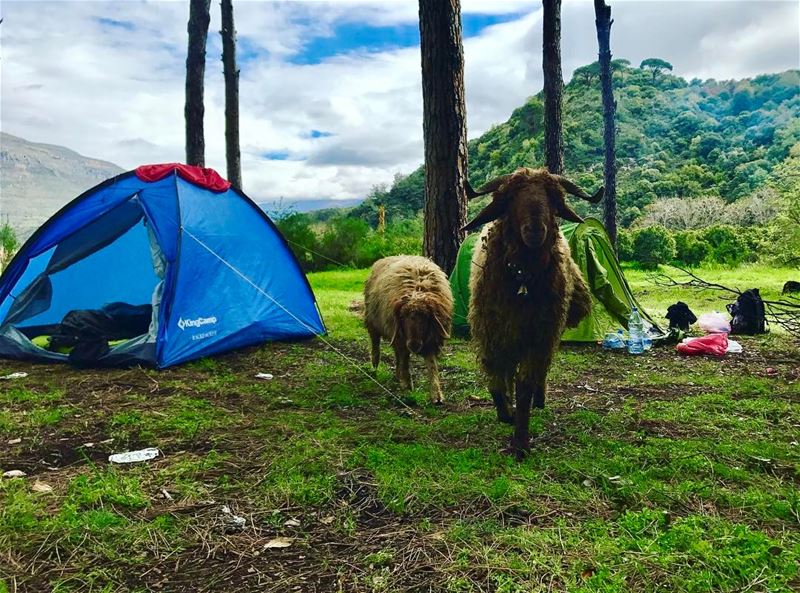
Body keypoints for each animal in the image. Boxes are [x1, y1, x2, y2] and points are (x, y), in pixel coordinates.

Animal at [364, 254, 454, 402]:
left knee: (397, 354)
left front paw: (436, 395)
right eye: (402, 316)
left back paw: (397, 374)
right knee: (376, 345)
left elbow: (432, 365)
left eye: (425, 317)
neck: (418, 290)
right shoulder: (402, 338)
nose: (414, 345)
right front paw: (407, 385)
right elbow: (405, 360)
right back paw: (375, 367)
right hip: (374, 323)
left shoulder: (431, 339)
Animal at [466, 166, 604, 458]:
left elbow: (525, 385)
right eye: (510, 197)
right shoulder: (491, 332)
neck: (522, 279)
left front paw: (521, 441)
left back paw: (539, 398)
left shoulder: (538, 335)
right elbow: (496, 371)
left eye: (552, 197)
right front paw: (504, 412)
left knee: (540, 370)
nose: (535, 231)